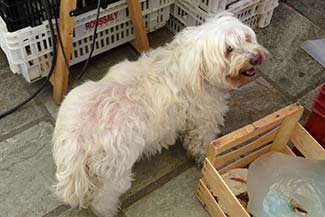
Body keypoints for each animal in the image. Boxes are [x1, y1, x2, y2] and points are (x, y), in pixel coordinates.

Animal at [52, 12, 266, 217]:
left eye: (247, 38)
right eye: (228, 49)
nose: (255, 58)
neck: (197, 65)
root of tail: (77, 137)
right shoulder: (204, 121)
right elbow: (201, 143)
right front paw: (203, 158)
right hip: (115, 173)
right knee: (101, 199)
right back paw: (110, 210)